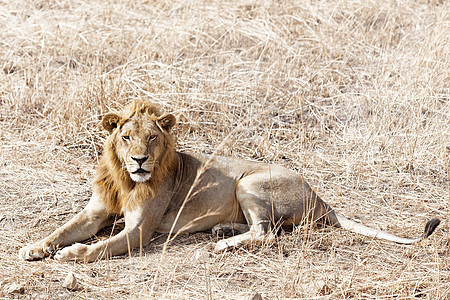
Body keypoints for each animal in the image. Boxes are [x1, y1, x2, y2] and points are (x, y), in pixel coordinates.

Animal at [19, 99, 442, 262]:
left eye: (152, 138)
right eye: (126, 137)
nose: (139, 160)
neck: (127, 179)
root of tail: (323, 199)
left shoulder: (141, 231)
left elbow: (101, 246)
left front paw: (73, 254)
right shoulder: (96, 212)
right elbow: (62, 229)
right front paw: (35, 247)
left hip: (247, 182)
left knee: (266, 233)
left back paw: (222, 244)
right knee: (266, 228)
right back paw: (222, 230)